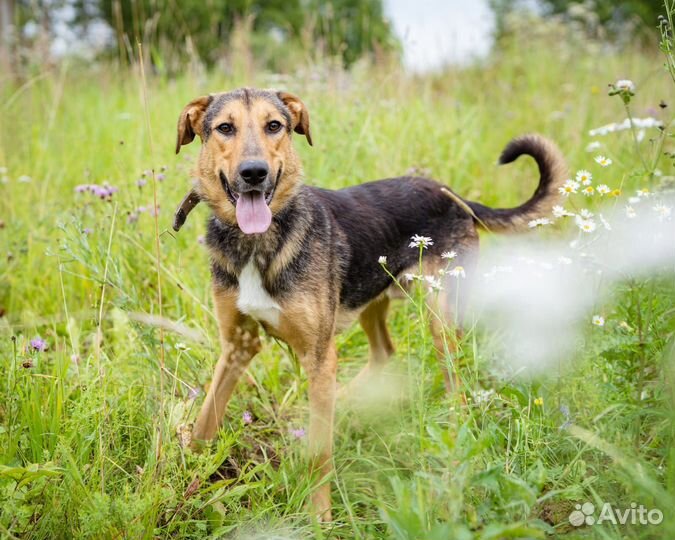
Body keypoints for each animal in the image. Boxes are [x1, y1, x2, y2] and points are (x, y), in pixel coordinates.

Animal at [172, 86, 568, 520]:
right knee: (383, 352)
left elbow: (319, 453)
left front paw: (320, 517)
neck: (257, 242)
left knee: (456, 384)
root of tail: (449, 193)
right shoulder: (238, 345)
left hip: (440, 317)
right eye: (225, 128)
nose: (254, 173)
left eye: (273, 126)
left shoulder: (316, 353)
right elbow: (206, 420)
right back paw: (346, 401)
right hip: (371, 298)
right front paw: (185, 479)